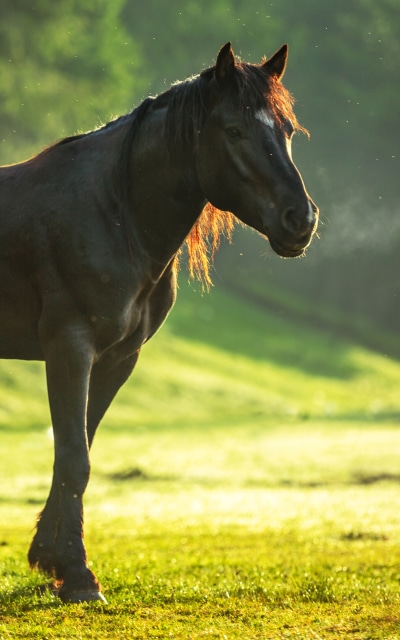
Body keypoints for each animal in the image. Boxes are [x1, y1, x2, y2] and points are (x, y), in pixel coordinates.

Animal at [0, 43, 318, 603]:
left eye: (285, 130)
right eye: (234, 130)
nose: (299, 219)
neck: (113, 212)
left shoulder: (115, 359)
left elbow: (77, 451)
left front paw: (51, 558)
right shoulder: (69, 348)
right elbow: (75, 457)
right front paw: (78, 576)